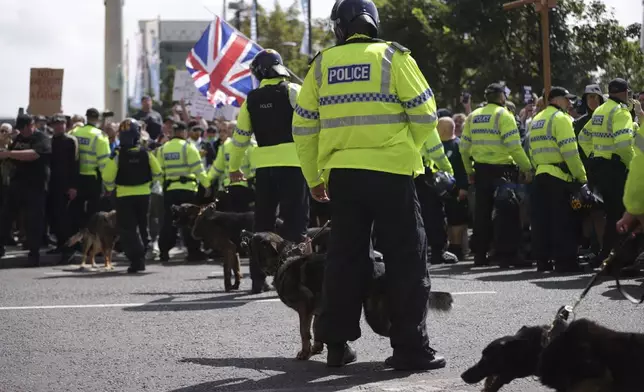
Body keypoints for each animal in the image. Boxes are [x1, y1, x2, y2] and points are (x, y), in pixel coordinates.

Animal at [239, 230, 456, 362]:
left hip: (375, 318)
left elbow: (304, 332)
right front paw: (318, 348)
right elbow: (318, 329)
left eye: (254, 238)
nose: (243, 232)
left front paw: (305, 353)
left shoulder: (304, 309)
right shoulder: (319, 311)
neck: (283, 258)